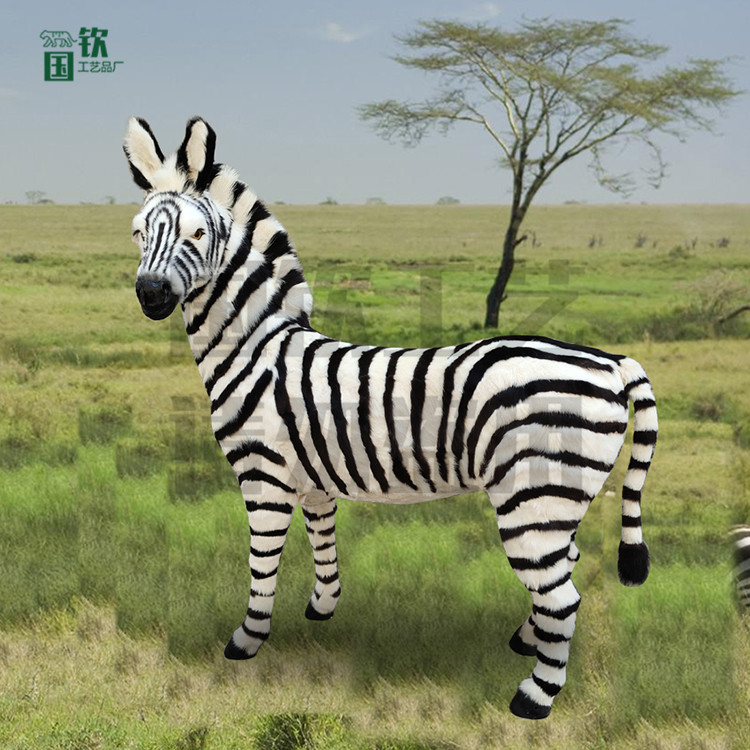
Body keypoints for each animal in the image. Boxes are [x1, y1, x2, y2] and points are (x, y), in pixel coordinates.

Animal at [123, 116, 657, 720]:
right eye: (139, 233)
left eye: (196, 234)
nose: (151, 294)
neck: (256, 348)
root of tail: (610, 360)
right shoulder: (313, 478)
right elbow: (323, 536)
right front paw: (323, 607)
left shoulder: (262, 476)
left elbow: (262, 561)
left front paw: (247, 640)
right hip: (557, 497)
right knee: (562, 572)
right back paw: (528, 640)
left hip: (534, 494)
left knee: (563, 595)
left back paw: (534, 696)